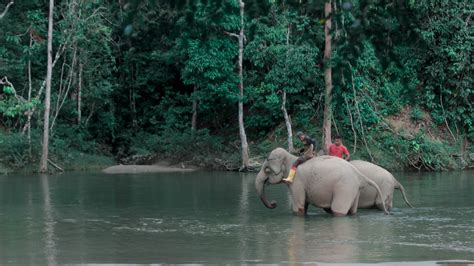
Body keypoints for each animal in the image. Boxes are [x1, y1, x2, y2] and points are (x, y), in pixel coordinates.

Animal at [256, 148, 388, 216]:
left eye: (267, 169)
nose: (274, 203)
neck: (290, 158)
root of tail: (360, 175)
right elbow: (304, 205)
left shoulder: (297, 182)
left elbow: (299, 207)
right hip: (355, 190)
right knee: (352, 211)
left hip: (345, 188)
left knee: (337, 209)